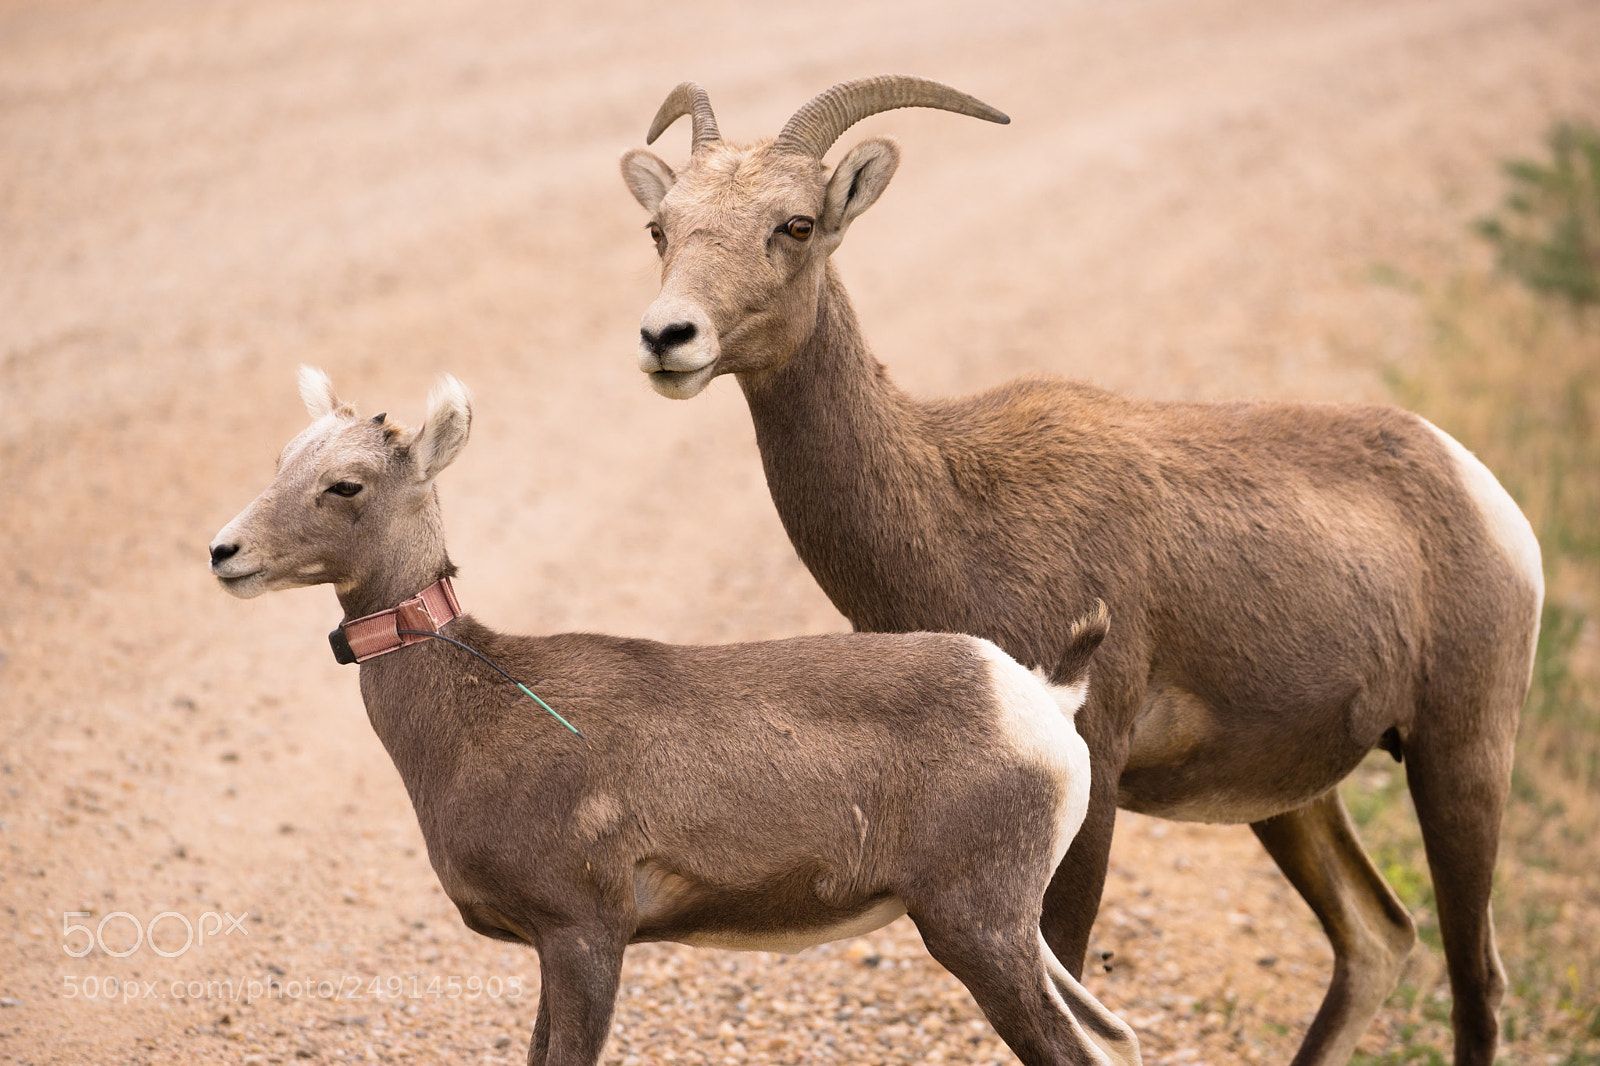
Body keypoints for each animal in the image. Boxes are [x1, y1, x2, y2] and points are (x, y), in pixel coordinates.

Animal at [208, 367, 1141, 1066]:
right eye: (283, 458)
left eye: (345, 484)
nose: (225, 552)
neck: (475, 713)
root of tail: (1040, 697)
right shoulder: (554, 947)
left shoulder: (584, 934)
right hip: (1016, 936)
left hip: (976, 929)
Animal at [620, 75, 1544, 1066]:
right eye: (661, 227)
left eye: (795, 224)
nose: (668, 337)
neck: (954, 508)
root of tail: (1481, 489)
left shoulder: (1090, 776)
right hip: (1293, 802)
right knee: (1378, 938)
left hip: (1461, 753)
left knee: (1476, 980)